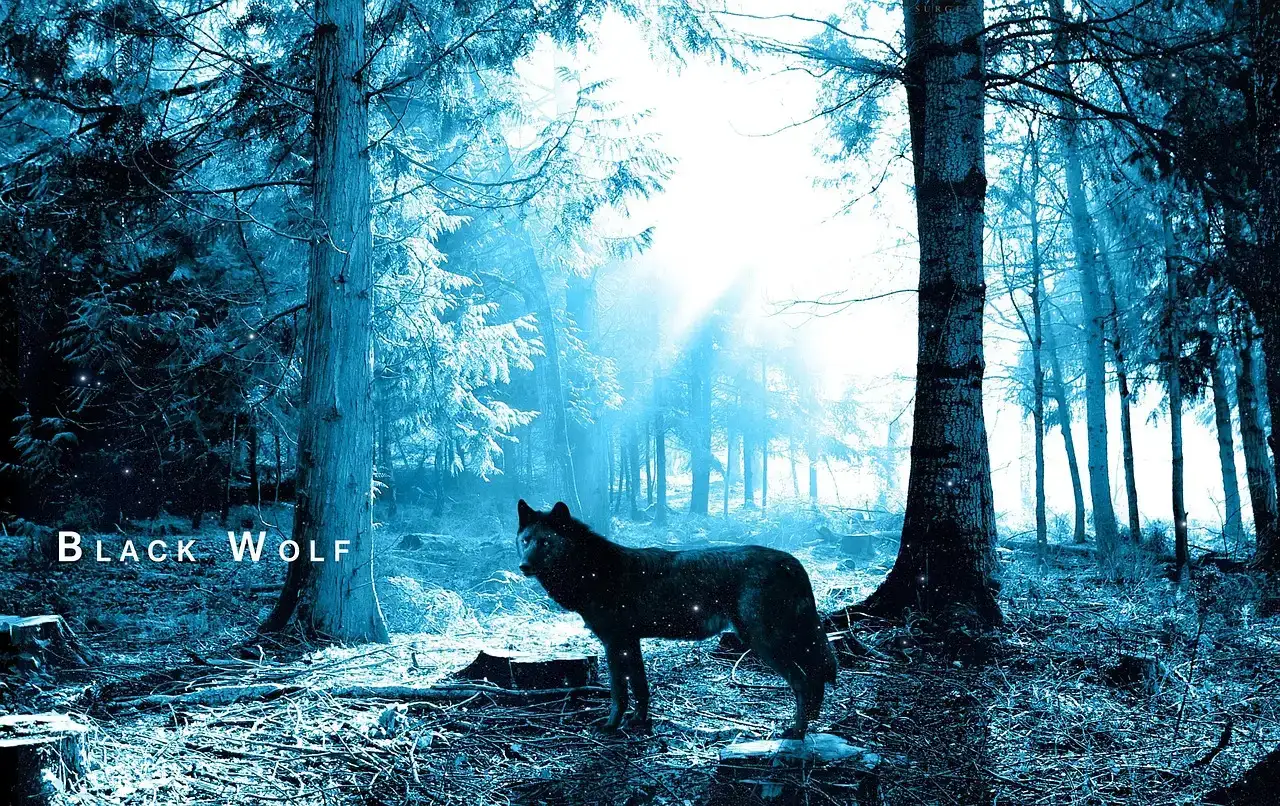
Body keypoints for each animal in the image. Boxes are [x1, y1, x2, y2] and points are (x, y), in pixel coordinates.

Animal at [516, 499, 837, 737]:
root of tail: (792, 561)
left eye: (545, 543)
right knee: (815, 675)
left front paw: (610, 726)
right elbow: (641, 688)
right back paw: (811, 720)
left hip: (764, 642)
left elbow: (619, 691)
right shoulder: (631, 642)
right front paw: (639, 722)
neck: (594, 571)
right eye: (526, 540)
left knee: (802, 680)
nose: (523, 566)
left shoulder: (614, 642)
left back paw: (796, 731)